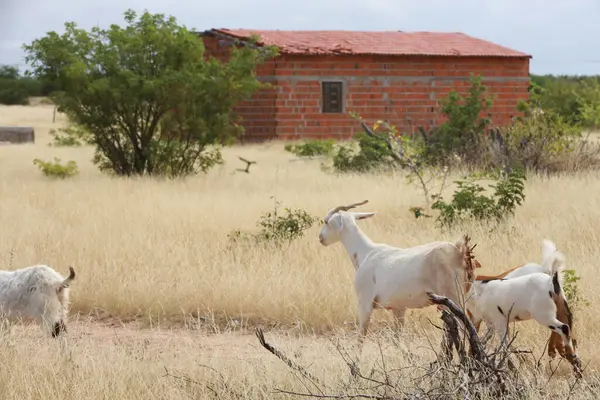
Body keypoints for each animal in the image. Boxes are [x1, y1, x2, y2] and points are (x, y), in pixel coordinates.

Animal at [318, 200, 478, 340]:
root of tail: (459, 253)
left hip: (454, 299)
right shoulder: (398, 309)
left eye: (326, 221)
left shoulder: (365, 304)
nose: (321, 238)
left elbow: (361, 338)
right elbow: (398, 338)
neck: (367, 252)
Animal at [464, 242, 580, 376]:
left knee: (563, 329)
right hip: (561, 312)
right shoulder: (489, 325)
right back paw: (575, 365)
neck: (480, 289)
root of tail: (551, 279)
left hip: (544, 317)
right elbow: (479, 343)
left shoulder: (499, 322)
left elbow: (505, 348)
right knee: (568, 334)